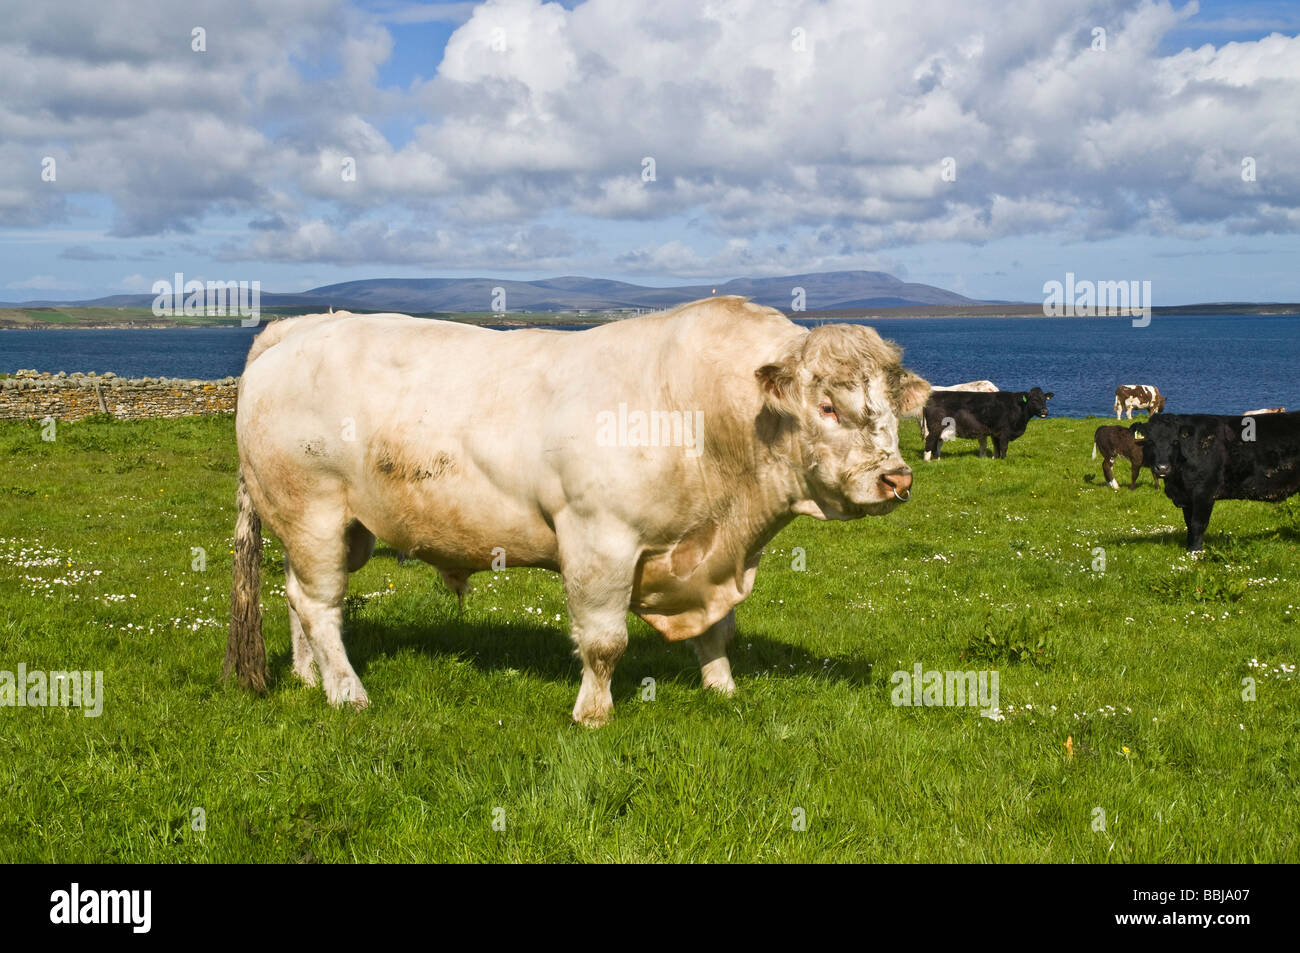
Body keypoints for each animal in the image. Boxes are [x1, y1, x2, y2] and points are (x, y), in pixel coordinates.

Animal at [226, 295, 935, 722]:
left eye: (891, 406)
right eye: (828, 406)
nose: (896, 479)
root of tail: (299, 326)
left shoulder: (702, 554)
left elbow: (716, 633)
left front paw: (723, 690)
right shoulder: (600, 541)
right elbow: (603, 642)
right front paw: (593, 713)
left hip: (339, 527)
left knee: (296, 595)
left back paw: (310, 679)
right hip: (312, 509)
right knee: (321, 604)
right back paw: (348, 693)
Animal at [920, 387, 1050, 460]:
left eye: (1044, 399)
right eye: (1034, 400)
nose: (1044, 411)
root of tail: (932, 395)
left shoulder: (996, 433)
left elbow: (997, 447)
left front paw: (997, 459)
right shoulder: (1005, 432)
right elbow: (1004, 447)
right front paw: (1004, 460)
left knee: (935, 442)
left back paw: (936, 459)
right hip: (936, 427)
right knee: (930, 441)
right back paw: (929, 461)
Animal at [1133, 410, 1300, 551]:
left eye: (1175, 441)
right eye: (1150, 441)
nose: (1162, 468)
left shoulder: (1204, 492)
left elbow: (1198, 524)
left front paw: (1195, 552)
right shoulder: (1187, 496)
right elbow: (1188, 523)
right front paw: (1188, 548)